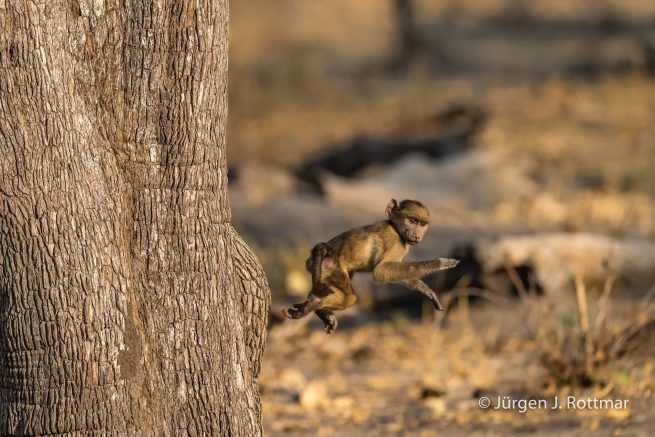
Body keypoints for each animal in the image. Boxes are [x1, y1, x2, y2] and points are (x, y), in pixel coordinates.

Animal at [282, 199, 460, 334]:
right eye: (413, 221)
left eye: (422, 224)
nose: (417, 235)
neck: (395, 228)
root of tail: (321, 252)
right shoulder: (396, 243)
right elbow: (380, 272)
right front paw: (441, 263)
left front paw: (426, 291)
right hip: (331, 267)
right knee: (350, 298)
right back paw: (315, 304)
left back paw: (316, 307)